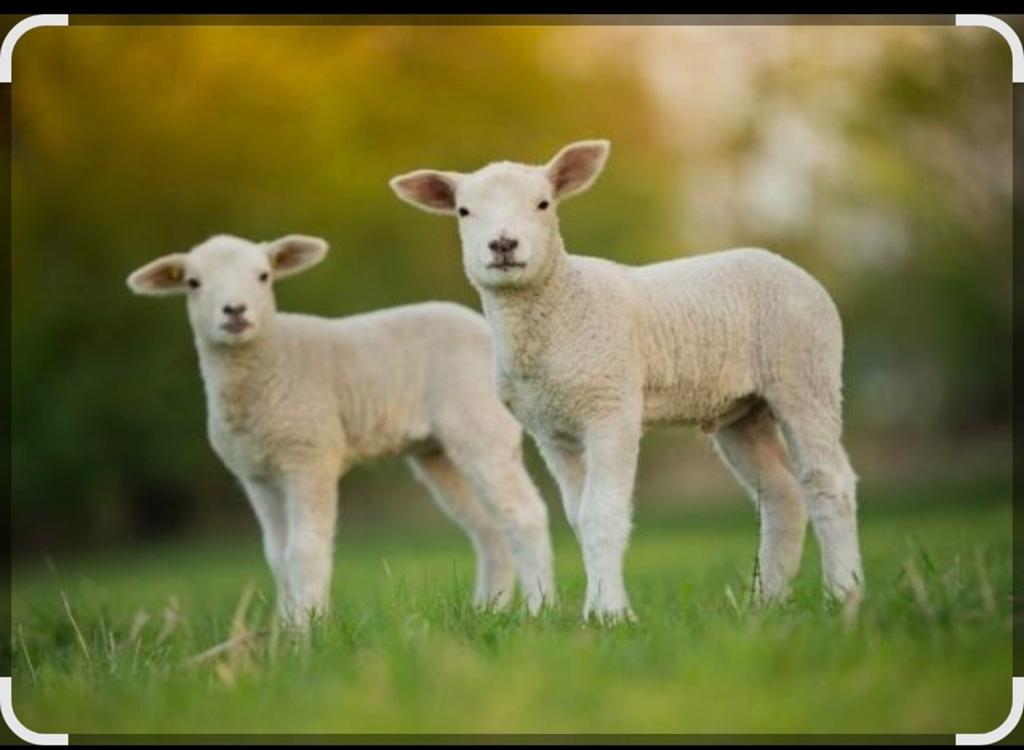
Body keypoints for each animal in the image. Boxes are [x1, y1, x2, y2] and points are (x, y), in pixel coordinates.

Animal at [126, 233, 555, 629]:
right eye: (193, 282)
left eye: (263, 276)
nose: (235, 311)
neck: (270, 361)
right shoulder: (256, 475)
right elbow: (276, 555)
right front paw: (285, 632)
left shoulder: (309, 455)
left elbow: (303, 550)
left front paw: (308, 631)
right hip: (438, 452)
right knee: (489, 529)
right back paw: (488, 610)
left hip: (480, 422)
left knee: (524, 514)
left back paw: (539, 608)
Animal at [390, 140, 864, 623]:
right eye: (464, 211)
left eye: (543, 204)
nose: (503, 244)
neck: (562, 301)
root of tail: (788, 266)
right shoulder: (551, 430)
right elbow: (578, 516)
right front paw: (596, 606)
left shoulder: (611, 406)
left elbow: (603, 513)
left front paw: (610, 614)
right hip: (742, 411)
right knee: (781, 495)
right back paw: (764, 603)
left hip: (805, 371)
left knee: (828, 482)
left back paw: (844, 596)